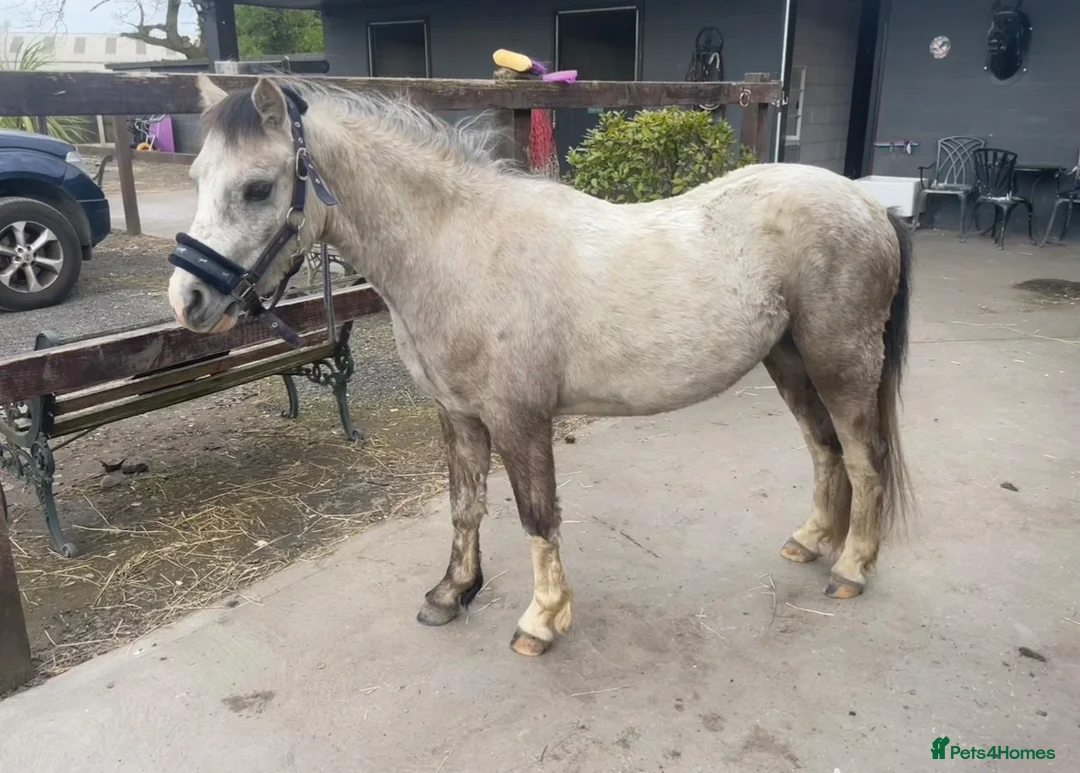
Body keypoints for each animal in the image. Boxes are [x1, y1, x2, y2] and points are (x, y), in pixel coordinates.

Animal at [167, 74, 914, 657]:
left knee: (863, 458)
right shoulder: (459, 414)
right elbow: (465, 505)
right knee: (824, 449)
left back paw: (851, 568)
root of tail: (866, 202)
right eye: (196, 179)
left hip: (841, 362)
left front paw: (542, 620)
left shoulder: (518, 419)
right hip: (789, 360)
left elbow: (536, 516)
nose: (187, 300)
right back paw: (811, 540)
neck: (458, 247)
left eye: (258, 188)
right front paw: (452, 593)